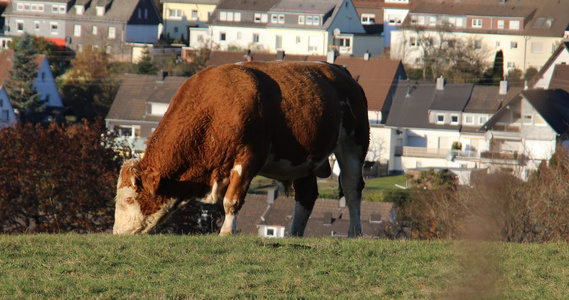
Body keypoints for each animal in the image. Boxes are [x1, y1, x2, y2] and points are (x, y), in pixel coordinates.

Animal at [112, 61, 368, 238]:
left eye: (128, 199)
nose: (117, 232)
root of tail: (339, 70)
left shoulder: (248, 158)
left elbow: (231, 200)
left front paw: (226, 232)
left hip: (353, 144)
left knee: (352, 188)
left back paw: (354, 231)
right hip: (304, 159)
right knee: (306, 195)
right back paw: (294, 233)